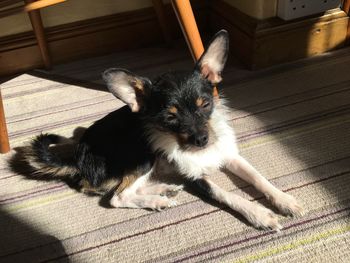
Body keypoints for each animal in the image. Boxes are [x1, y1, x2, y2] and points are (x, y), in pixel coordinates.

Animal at [21, 29, 302, 230]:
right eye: (170, 118)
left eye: (206, 104)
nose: (202, 139)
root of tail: (77, 159)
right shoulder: (194, 177)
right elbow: (224, 193)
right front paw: (259, 214)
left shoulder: (229, 155)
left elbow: (258, 177)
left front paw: (284, 200)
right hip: (142, 153)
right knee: (117, 196)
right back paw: (157, 199)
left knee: (123, 188)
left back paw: (163, 189)